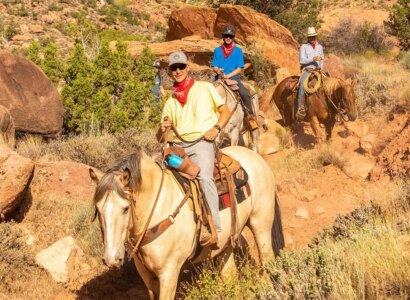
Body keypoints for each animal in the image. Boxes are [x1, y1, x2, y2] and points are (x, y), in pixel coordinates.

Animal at [88, 145, 284, 298]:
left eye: (125, 208)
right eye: (98, 209)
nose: (112, 259)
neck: (158, 208)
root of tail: (255, 156)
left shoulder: (169, 272)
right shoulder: (145, 273)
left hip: (261, 226)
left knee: (267, 262)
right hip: (226, 245)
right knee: (230, 276)